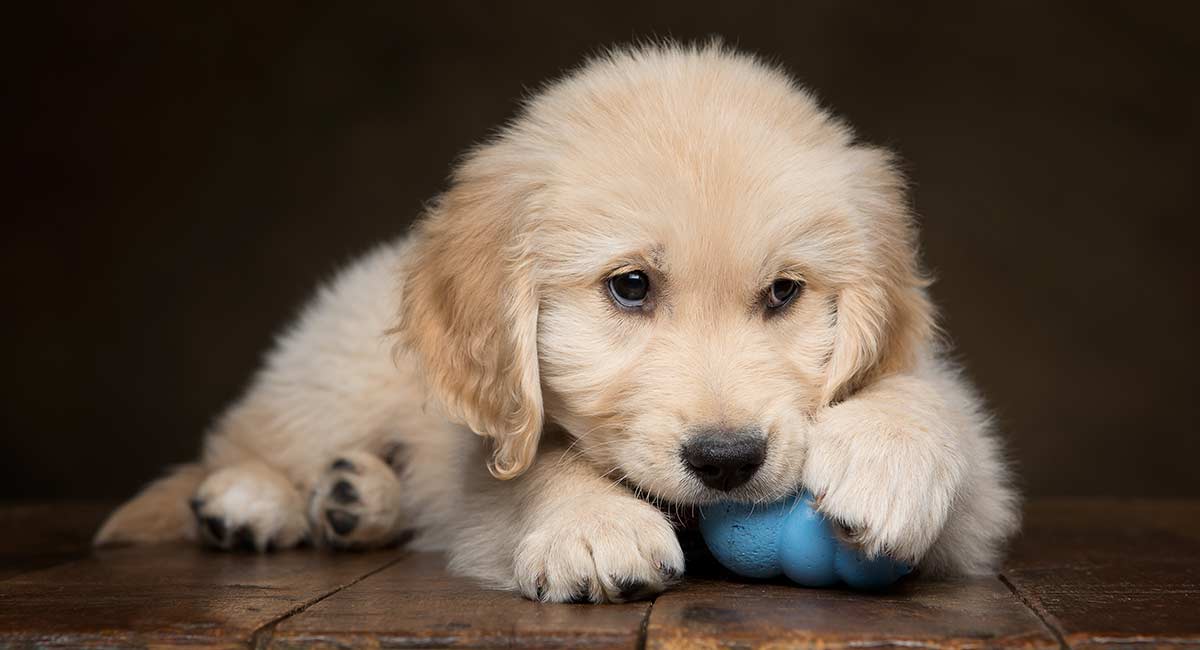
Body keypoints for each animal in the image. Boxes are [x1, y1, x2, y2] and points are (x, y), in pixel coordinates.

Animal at [98, 44, 1022, 606]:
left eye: (785, 293)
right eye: (630, 287)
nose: (728, 461)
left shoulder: (976, 513)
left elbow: (935, 408)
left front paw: (889, 457)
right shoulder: (479, 476)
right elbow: (534, 465)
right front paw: (594, 524)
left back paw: (354, 499)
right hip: (335, 374)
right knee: (241, 441)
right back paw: (255, 501)